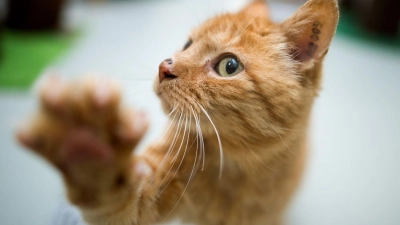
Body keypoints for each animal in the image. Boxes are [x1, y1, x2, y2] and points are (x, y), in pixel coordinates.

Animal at [17, 0, 340, 224]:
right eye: (188, 43)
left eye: (229, 66)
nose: (164, 67)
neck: (236, 168)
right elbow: (119, 202)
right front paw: (90, 149)